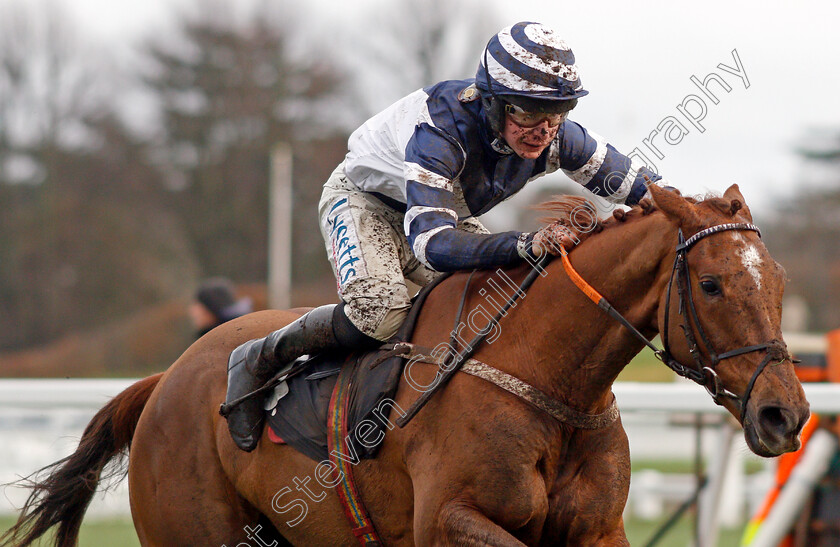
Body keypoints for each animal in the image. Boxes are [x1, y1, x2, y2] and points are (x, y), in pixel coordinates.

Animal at [3, 185, 812, 547]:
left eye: (777, 280)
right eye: (712, 284)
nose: (787, 413)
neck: (548, 382)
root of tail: (165, 381)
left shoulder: (597, 530)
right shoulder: (448, 521)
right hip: (195, 533)